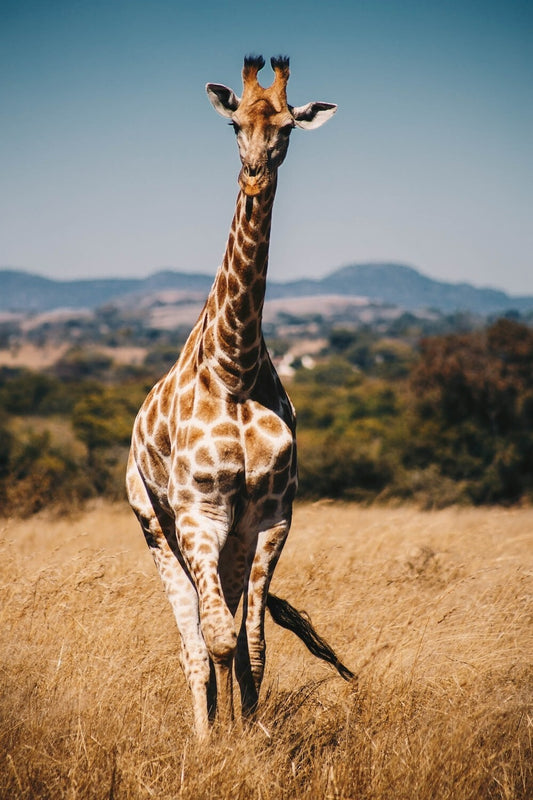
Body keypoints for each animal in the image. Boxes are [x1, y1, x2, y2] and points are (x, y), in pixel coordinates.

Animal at [126, 55, 352, 738]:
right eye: (233, 125)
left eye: (287, 126)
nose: (254, 174)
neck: (236, 368)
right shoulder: (200, 511)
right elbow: (218, 638)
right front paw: (223, 744)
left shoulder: (271, 517)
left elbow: (251, 642)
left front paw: (255, 735)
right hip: (156, 524)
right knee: (194, 641)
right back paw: (205, 736)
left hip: (226, 538)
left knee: (224, 623)